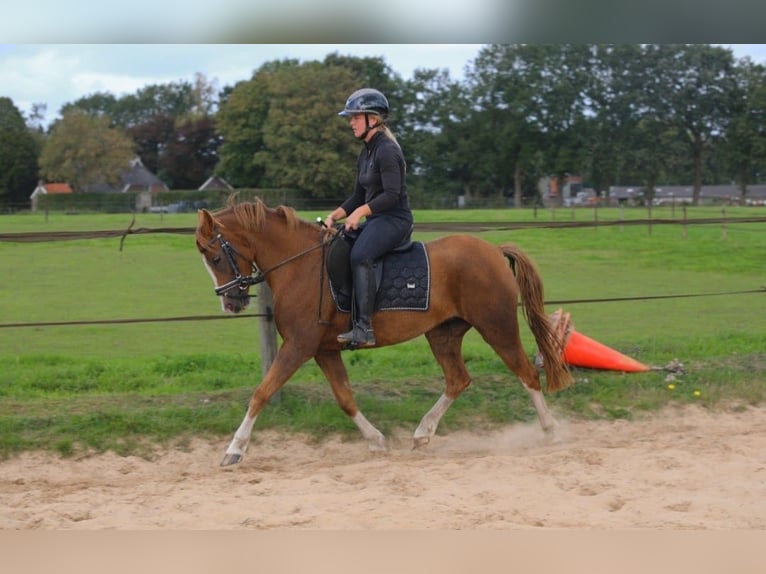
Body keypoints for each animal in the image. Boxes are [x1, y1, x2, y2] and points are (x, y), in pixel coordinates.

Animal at [195, 197, 574, 467]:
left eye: (215, 257)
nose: (230, 302)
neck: (299, 264)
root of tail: (493, 251)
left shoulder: (298, 346)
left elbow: (261, 393)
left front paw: (234, 450)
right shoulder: (324, 349)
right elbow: (345, 398)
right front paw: (376, 440)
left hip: (497, 326)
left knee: (526, 373)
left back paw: (552, 432)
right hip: (443, 334)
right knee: (458, 380)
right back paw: (422, 434)